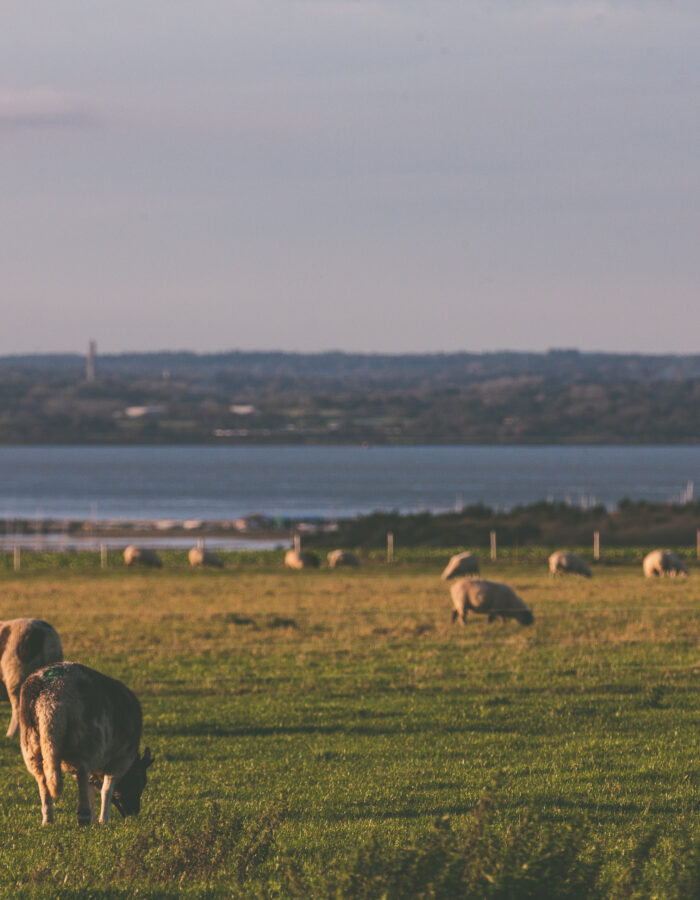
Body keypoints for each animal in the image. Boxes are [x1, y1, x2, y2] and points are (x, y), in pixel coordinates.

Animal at [20, 656, 153, 828]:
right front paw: (103, 820)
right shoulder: (120, 758)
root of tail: (49, 697)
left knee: (42, 780)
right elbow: (106, 789)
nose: (133, 813)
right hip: (83, 741)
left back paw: (48, 819)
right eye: (139, 780)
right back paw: (82, 817)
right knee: (82, 774)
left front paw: (95, 819)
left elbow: (92, 788)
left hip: (31, 745)